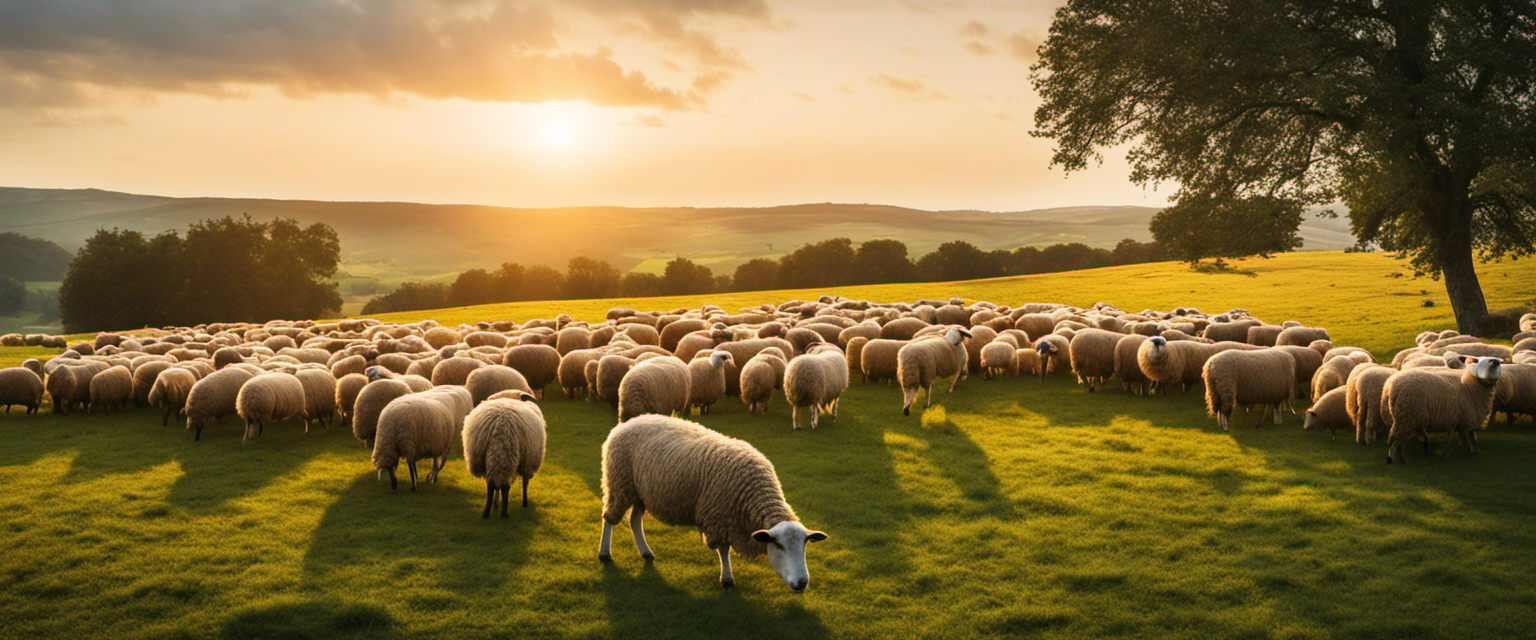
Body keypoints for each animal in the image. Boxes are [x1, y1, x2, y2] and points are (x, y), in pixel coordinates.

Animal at [595, 414, 829, 589]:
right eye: (778, 545)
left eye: (805, 545)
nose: (802, 583)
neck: (757, 491)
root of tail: (628, 423)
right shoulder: (719, 517)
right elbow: (723, 551)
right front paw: (727, 578)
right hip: (619, 483)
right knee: (609, 518)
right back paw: (605, 553)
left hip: (640, 492)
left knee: (635, 520)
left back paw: (646, 552)